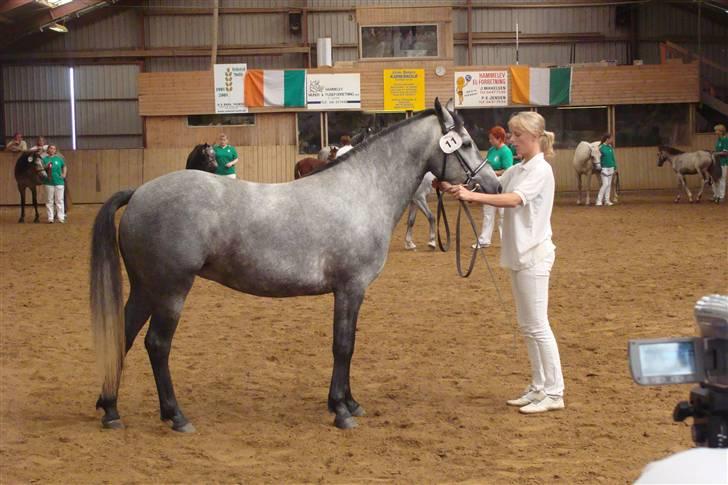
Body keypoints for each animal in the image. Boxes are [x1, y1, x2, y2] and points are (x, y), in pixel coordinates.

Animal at [89, 98, 500, 432]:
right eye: (465, 143)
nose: (493, 186)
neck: (362, 191)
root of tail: (140, 192)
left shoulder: (352, 292)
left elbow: (349, 343)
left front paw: (350, 402)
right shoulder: (350, 288)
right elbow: (343, 345)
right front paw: (341, 411)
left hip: (146, 288)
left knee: (123, 335)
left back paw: (110, 409)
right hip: (171, 290)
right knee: (157, 345)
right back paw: (175, 416)